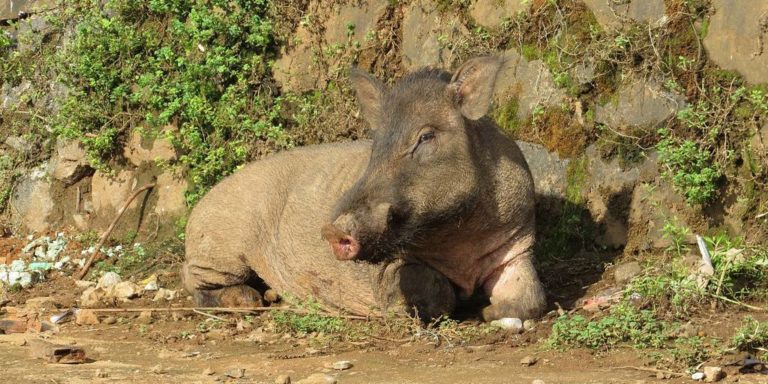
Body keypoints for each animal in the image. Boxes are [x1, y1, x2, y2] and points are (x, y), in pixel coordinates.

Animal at [182, 57, 544, 320]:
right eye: (376, 144)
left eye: (426, 137)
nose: (332, 229)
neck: (459, 238)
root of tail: (199, 205)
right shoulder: (388, 269)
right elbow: (434, 291)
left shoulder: (518, 243)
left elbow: (532, 295)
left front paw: (491, 313)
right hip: (221, 246)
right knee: (194, 281)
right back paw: (247, 299)